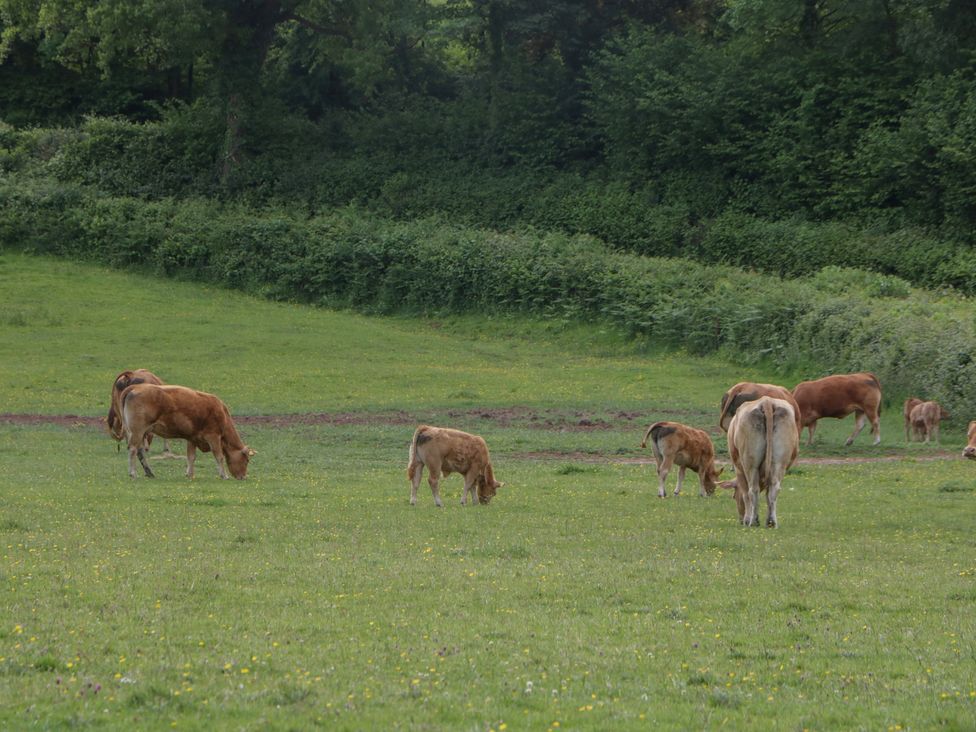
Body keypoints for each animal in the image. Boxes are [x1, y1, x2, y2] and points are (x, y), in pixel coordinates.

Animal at [121, 384, 254, 479]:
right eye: (247, 460)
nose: (243, 477)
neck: (221, 413)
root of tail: (136, 387)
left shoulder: (192, 438)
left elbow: (191, 457)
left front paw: (190, 474)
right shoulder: (214, 436)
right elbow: (219, 456)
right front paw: (224, 475)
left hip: (139, 433)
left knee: (140, 451)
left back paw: (149, 473)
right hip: (138, 431)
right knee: (133, 449)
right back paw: (133, 473)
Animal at [727, 396, 799, 528]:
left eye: (734, 496)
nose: (740, 520)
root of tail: (767, 401)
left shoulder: (739, 469)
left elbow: (745, 495)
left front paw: (747, 519)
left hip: (750, 463)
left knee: (752, 490)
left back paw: (753, 521)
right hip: (779, 463)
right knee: (774, 488)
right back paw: (771, 522)